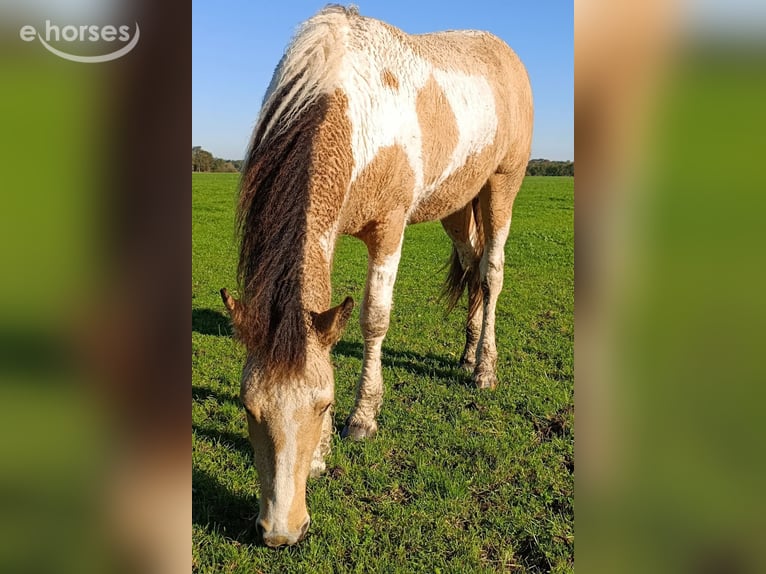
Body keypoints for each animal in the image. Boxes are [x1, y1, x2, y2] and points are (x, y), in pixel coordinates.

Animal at [220, 4, 533, 547]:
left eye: (324, 405)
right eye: (248, 407)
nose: (281, 531)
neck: (345, 103)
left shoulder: (388, 231)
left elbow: (373, 318)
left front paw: (363, 419)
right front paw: (322, 456)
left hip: (501, 187)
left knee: (491, 273)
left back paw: (484, 369)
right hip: (456, 205)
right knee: (472, 266)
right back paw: (468, 351)